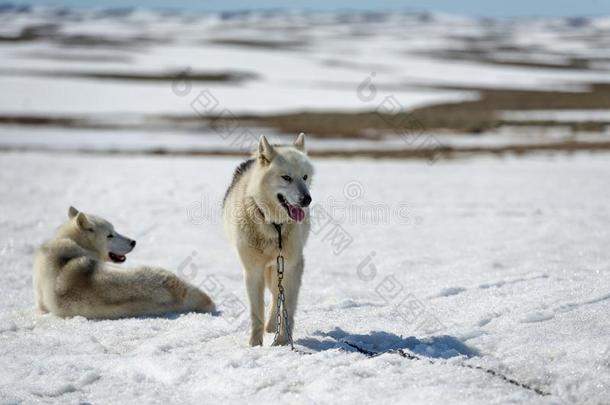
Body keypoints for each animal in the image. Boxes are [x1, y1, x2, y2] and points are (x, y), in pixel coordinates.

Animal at [221, 132, 312, 344]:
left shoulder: (293, 266)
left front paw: (282, 342)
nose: (307, 199)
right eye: (286, 177)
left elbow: (288, 306)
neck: (273, 225)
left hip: (278, 269)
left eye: (305, 177)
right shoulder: (253, 271)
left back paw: (273, 327)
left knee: (277, 296)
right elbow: (256, 315)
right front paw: (254, 345)